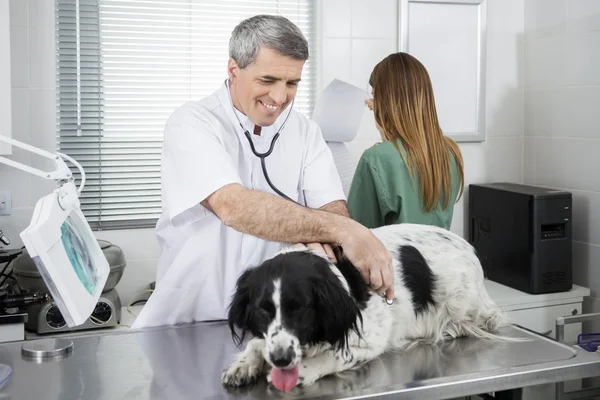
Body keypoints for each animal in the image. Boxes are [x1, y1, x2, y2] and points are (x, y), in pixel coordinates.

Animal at [221, 223, 516, 392]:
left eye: (301, 308)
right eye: (263, 309)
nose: (281, 359)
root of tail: (469, 248)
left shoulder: (370, 340)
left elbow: (333, 356)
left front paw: (304, 370)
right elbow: (257, 343)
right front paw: (243, 365)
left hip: (464, 303)